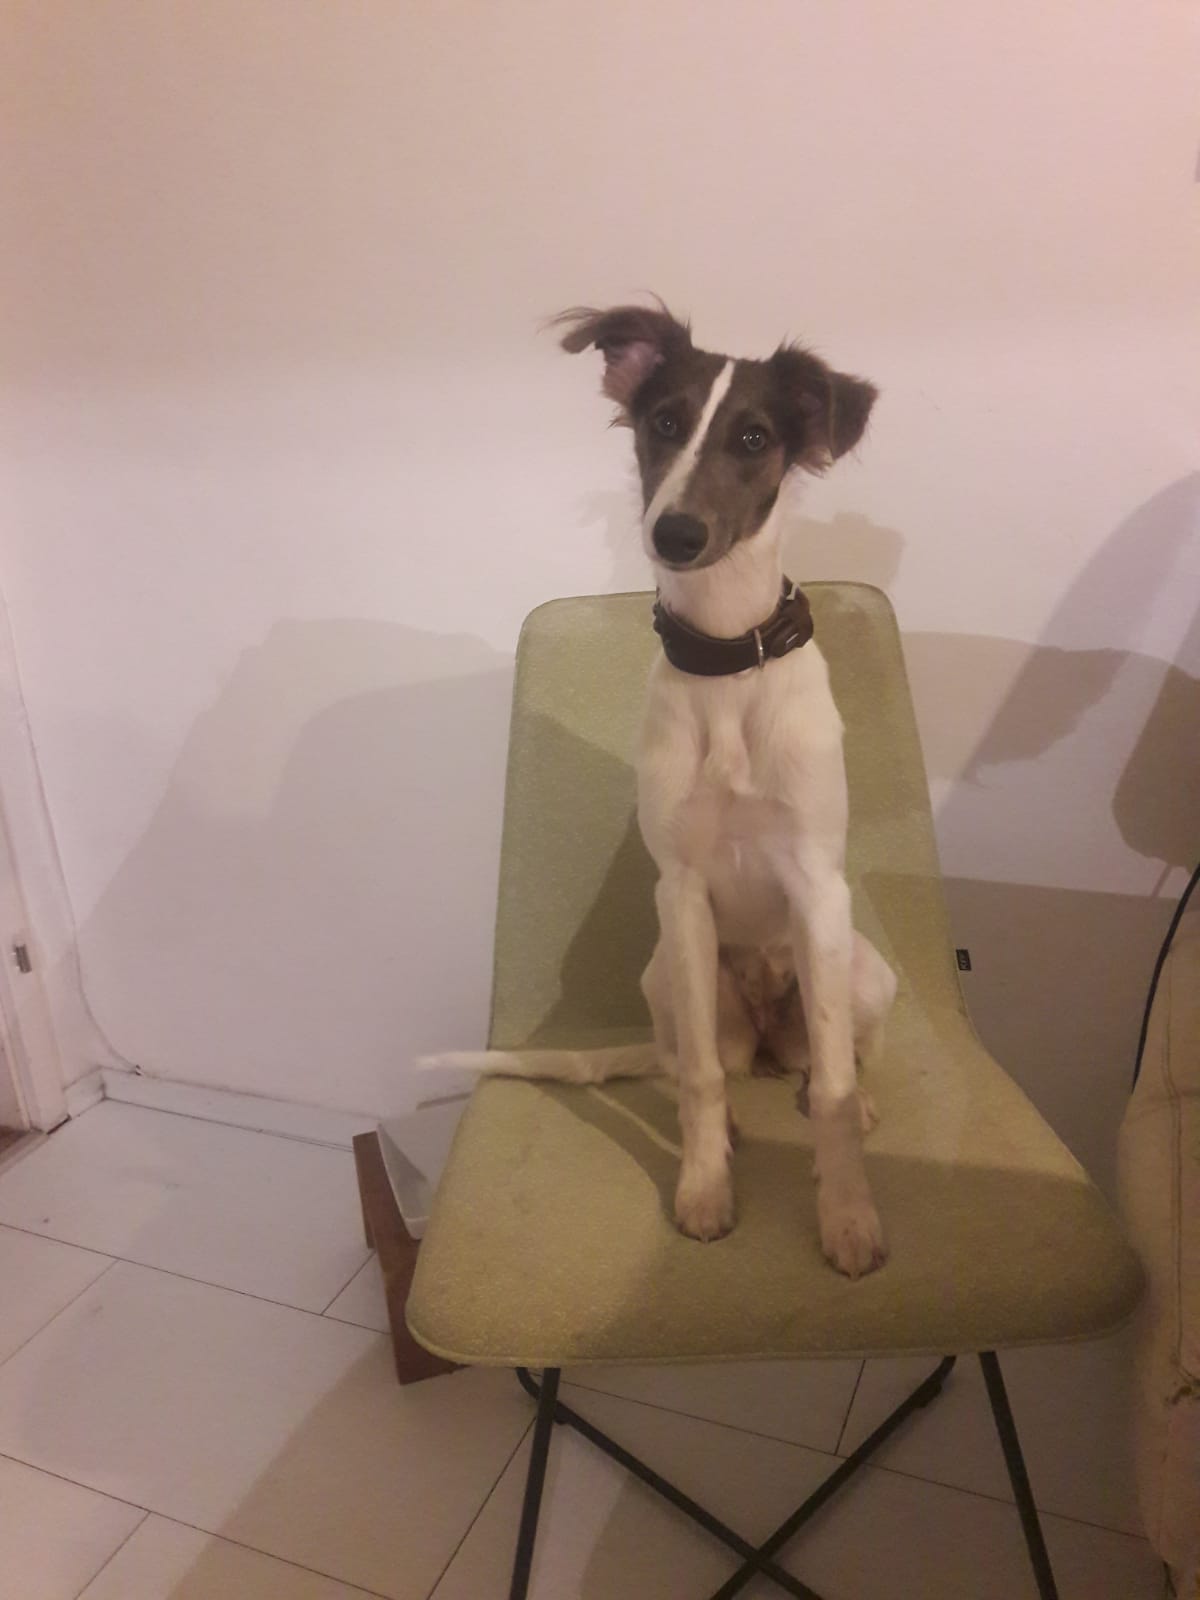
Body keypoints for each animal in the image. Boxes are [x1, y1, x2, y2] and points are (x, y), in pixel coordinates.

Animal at [422, 303, 896, 1278]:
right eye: (664, 423)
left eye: (753, 437)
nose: (675, 534)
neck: (727, 659)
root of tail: (770, 1036)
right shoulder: (679, 892)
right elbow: (706, 1081)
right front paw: (706, 1187)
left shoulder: (817, 885)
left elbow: (833, 1081)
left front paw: (847, 1216)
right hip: (669, 979)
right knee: (696, 1065)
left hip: (865, 968)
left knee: (830, 1059)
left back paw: (845, 1100)